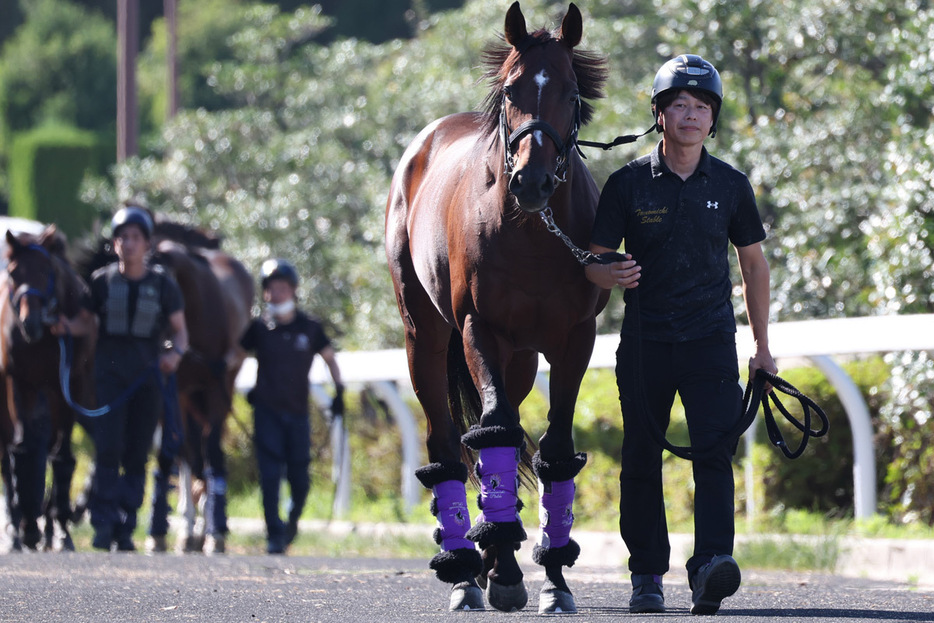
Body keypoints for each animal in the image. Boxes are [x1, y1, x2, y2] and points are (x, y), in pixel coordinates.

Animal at [0, 225, 95, 552]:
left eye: (46, 271)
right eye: (13, 272)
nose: (30, 323)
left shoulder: (70, 383)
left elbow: (62, 455)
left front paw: (62, 529)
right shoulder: (19, 381)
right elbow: (23, 451)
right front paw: (28, 527)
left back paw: (52, 528)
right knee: (7, 459)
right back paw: (16, 527)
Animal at [386, 0, 612, 616]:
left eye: (569, 92)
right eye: (512, 89)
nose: (532, 180)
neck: (532, 233)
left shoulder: (575, 337)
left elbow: (553, 447)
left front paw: (553, 579)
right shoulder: (477, 328)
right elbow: (494, 429)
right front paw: (506, 571)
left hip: (521, 360)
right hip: (424, 335)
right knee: (448, 441)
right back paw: (465, 571)